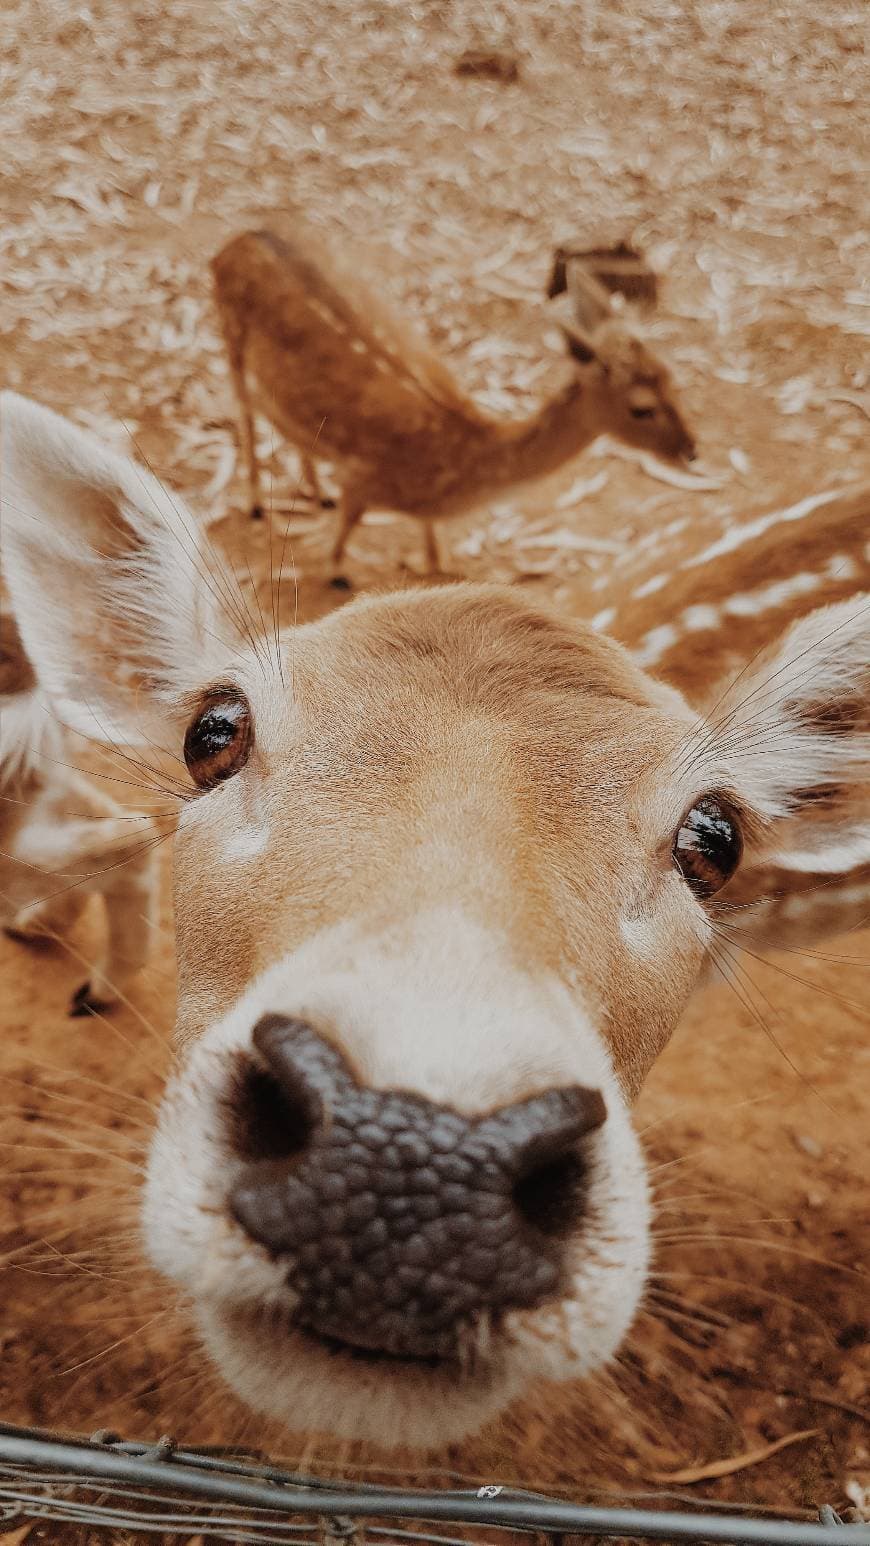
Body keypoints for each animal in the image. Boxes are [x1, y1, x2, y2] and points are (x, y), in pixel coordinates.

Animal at [208, 216, 695, 581]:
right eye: (641, 407)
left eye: (672, 375)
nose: (691, 450)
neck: (452, 466)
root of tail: (232, 243)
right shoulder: (362, 479)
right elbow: (346, 533)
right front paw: (338, 569)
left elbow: (432, 552)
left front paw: (431, 559)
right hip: (229, 337)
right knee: (244, 411)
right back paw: (255, 501)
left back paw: (314, 489)